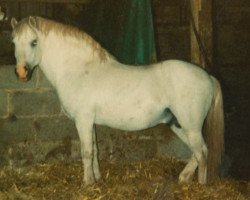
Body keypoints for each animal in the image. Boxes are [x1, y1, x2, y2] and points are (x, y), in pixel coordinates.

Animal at [10, 16, 224, 185]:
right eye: (13, 42)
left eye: (34, 42)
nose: (21, 72)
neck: (79, 69)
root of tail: (208, 77)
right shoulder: (90, 122)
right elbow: (95, 150)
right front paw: (96, 179)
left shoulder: (83, 120)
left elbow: (86, 152)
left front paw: (86, 183)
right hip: (178, 124)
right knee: (198, 151)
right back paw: (184, 178)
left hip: (190, 126)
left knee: (202, 153)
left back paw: (200, 185)